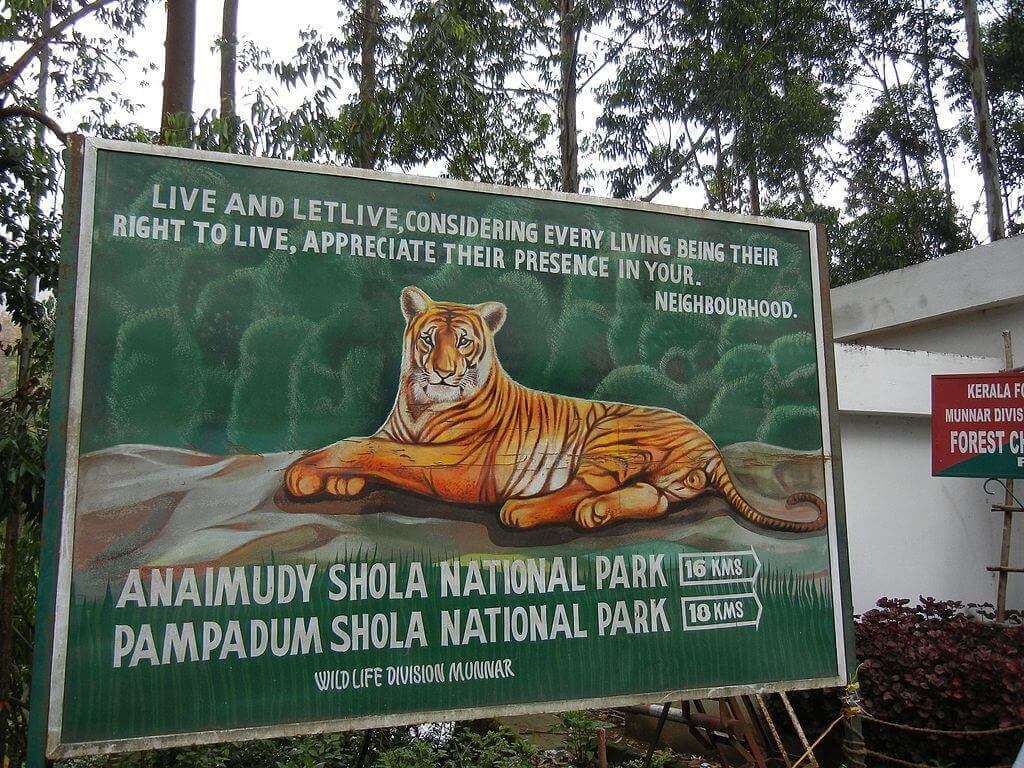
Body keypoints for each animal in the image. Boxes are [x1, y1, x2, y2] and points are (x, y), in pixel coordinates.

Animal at [284, 286, 827, 532]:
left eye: (463, 342)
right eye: (429, 339)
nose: (441, 372)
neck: (419, 406)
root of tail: (709, 442)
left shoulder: (455, 466)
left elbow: (367, 447)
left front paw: (302, 472)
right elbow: (371, 448)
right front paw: (335, 481)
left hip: (611, 434)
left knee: (586, 486)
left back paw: (525, 509)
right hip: (660, 478)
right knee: (649, 498)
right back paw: (597, 513)